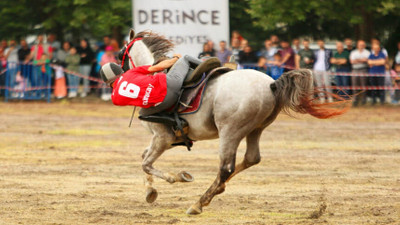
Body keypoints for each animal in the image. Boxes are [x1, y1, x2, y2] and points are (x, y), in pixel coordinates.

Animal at [120, 29, 348, 214]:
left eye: (121, 52)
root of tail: (271, 84)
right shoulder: (167, 139)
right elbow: (144, 159)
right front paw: (150, 191)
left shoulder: (162, 137)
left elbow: (146, 164)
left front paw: (175, 177)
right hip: (255, 129)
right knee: (251, 159)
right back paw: (217, 189)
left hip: (230, 132)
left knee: (226, 168)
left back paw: (198, 204)